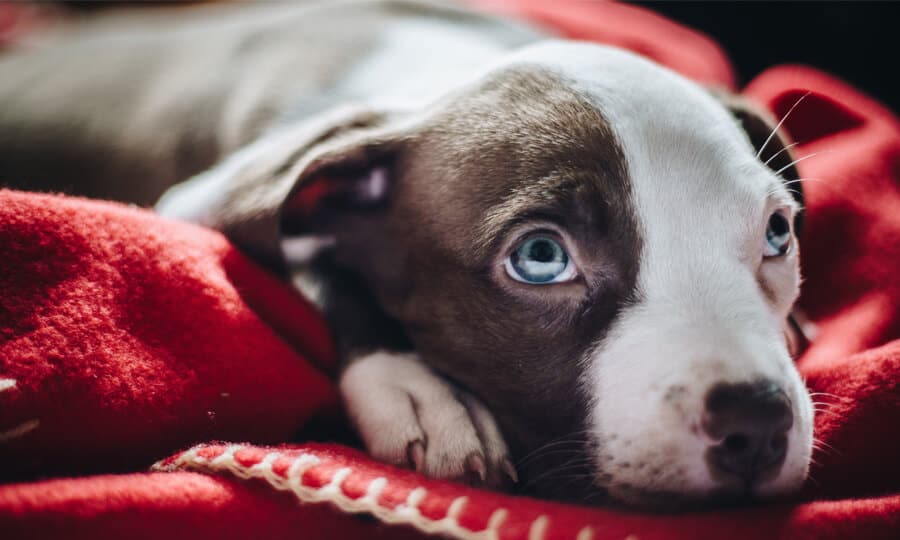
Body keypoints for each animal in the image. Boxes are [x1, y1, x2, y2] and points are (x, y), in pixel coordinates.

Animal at [0, 0, 812, 508]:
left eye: (778, 232)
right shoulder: (224, 195)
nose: (758, 420)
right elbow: (316, 268)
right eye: (541, 256)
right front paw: (421, 390)